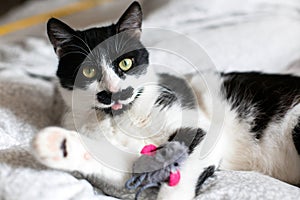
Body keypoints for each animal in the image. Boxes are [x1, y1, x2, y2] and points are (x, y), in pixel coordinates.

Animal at [31, 1, 300, 200]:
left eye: (125, 63)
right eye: (88, 71)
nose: (113, 92)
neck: (122, 119)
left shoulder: (197, 125)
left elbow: (182, 168)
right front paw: (58, 145)